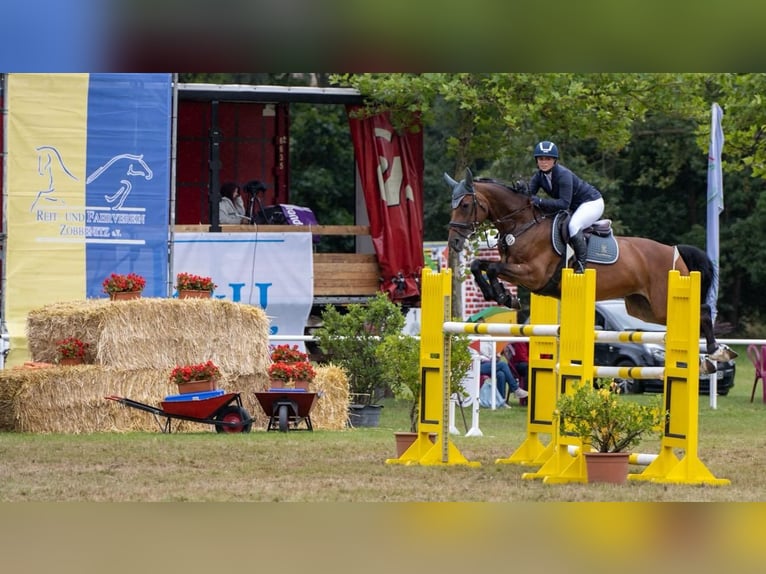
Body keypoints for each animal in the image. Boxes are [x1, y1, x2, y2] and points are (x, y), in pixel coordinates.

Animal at [444, 169, 736, 369]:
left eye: (466, 205)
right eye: (453, 205)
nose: (454, 243)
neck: (522, 224)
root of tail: (675, 252)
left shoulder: (533, 275)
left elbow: (493, 268)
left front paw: (505, 296)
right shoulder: (519, 271)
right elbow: (480, 265)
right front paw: (501, 295)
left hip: (663, 301)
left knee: (703, 309)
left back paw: (715, 351)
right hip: (644, 308)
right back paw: (708, 356)